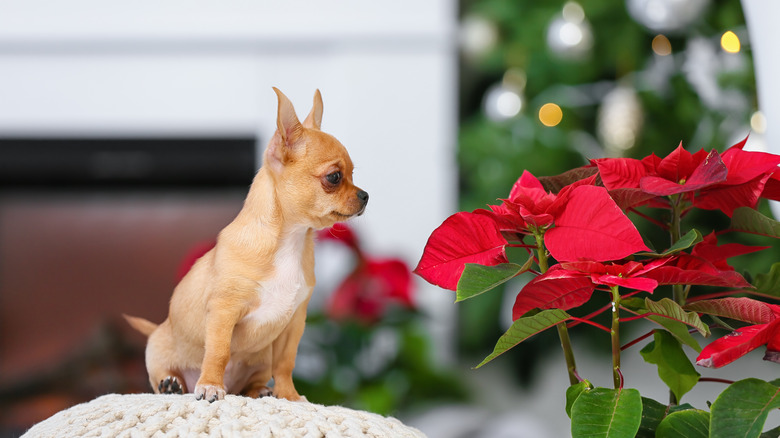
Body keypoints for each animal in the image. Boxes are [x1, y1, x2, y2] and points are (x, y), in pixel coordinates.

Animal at [126, 87, 370, 402]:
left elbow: (286, 363)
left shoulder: (294, 323)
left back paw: (262, 392)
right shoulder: (224, 311)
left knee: (251, 384)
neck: (289, 240)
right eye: (335, 177)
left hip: (261, 360)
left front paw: (290, 396)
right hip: (157, 353)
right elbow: (218, 352)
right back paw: (173, 385)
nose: (365, 196)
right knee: (162, 378)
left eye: (353, 175)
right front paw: (211, 386)